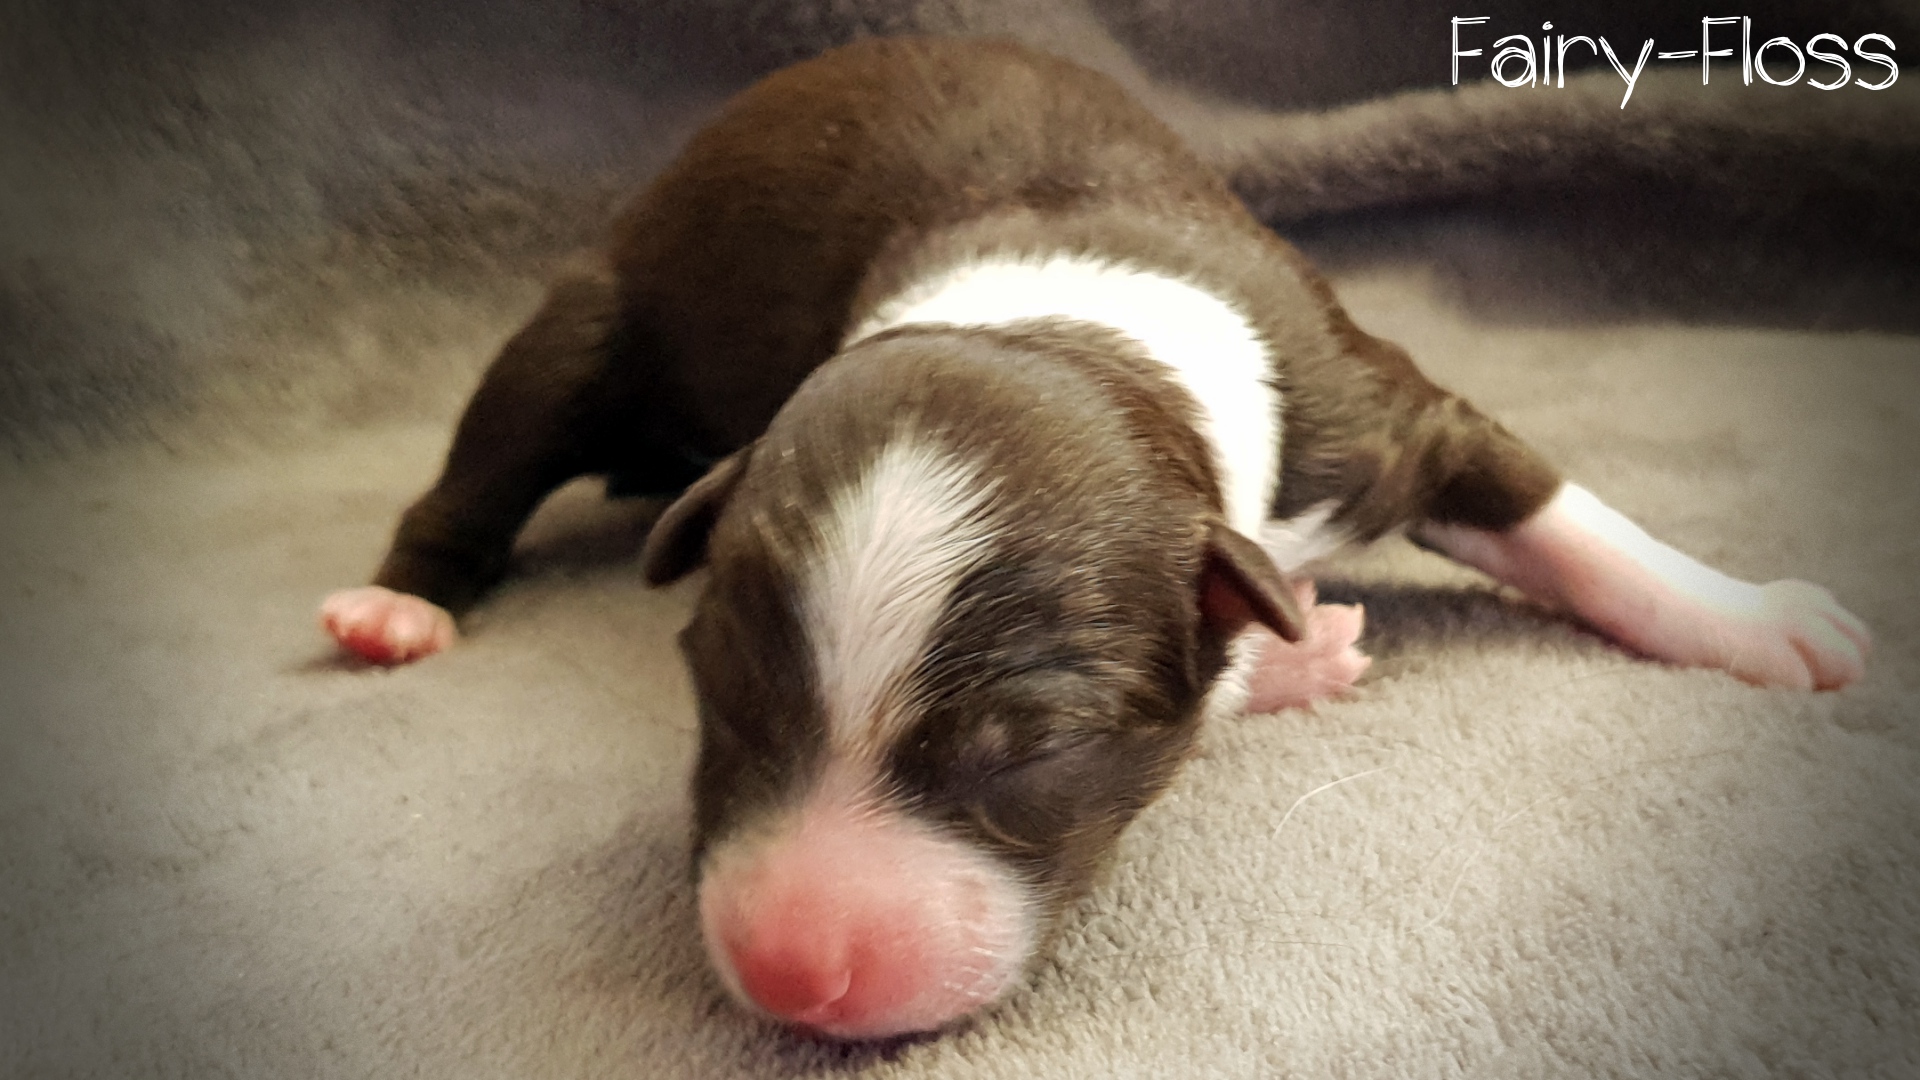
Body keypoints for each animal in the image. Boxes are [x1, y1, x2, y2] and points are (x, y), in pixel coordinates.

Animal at [319, 37, 1870, 1040]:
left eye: (1037, 748)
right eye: (723, 689)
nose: (796, 976)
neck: (1057, 319)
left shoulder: (1377, 411)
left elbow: (1556, 509)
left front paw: (1753, 615)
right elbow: (1244, 646)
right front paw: (1289, 662)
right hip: (591, 314)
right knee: (483, 462)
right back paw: (398, 606)